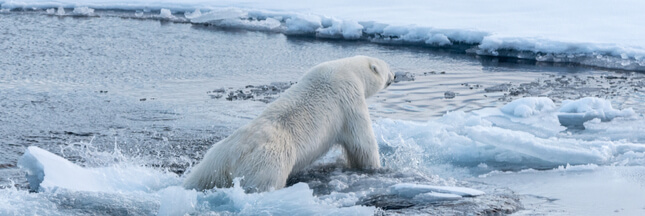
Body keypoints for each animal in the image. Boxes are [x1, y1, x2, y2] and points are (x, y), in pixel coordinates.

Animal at [184, 55, 394, 192]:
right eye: (386, 67)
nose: (395, 75)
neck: (349, 69)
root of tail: (236, 155)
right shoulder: (349, 99)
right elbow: (361, 142)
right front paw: (376, 167)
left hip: (214, 161)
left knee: (200, 178)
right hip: (268, 164)